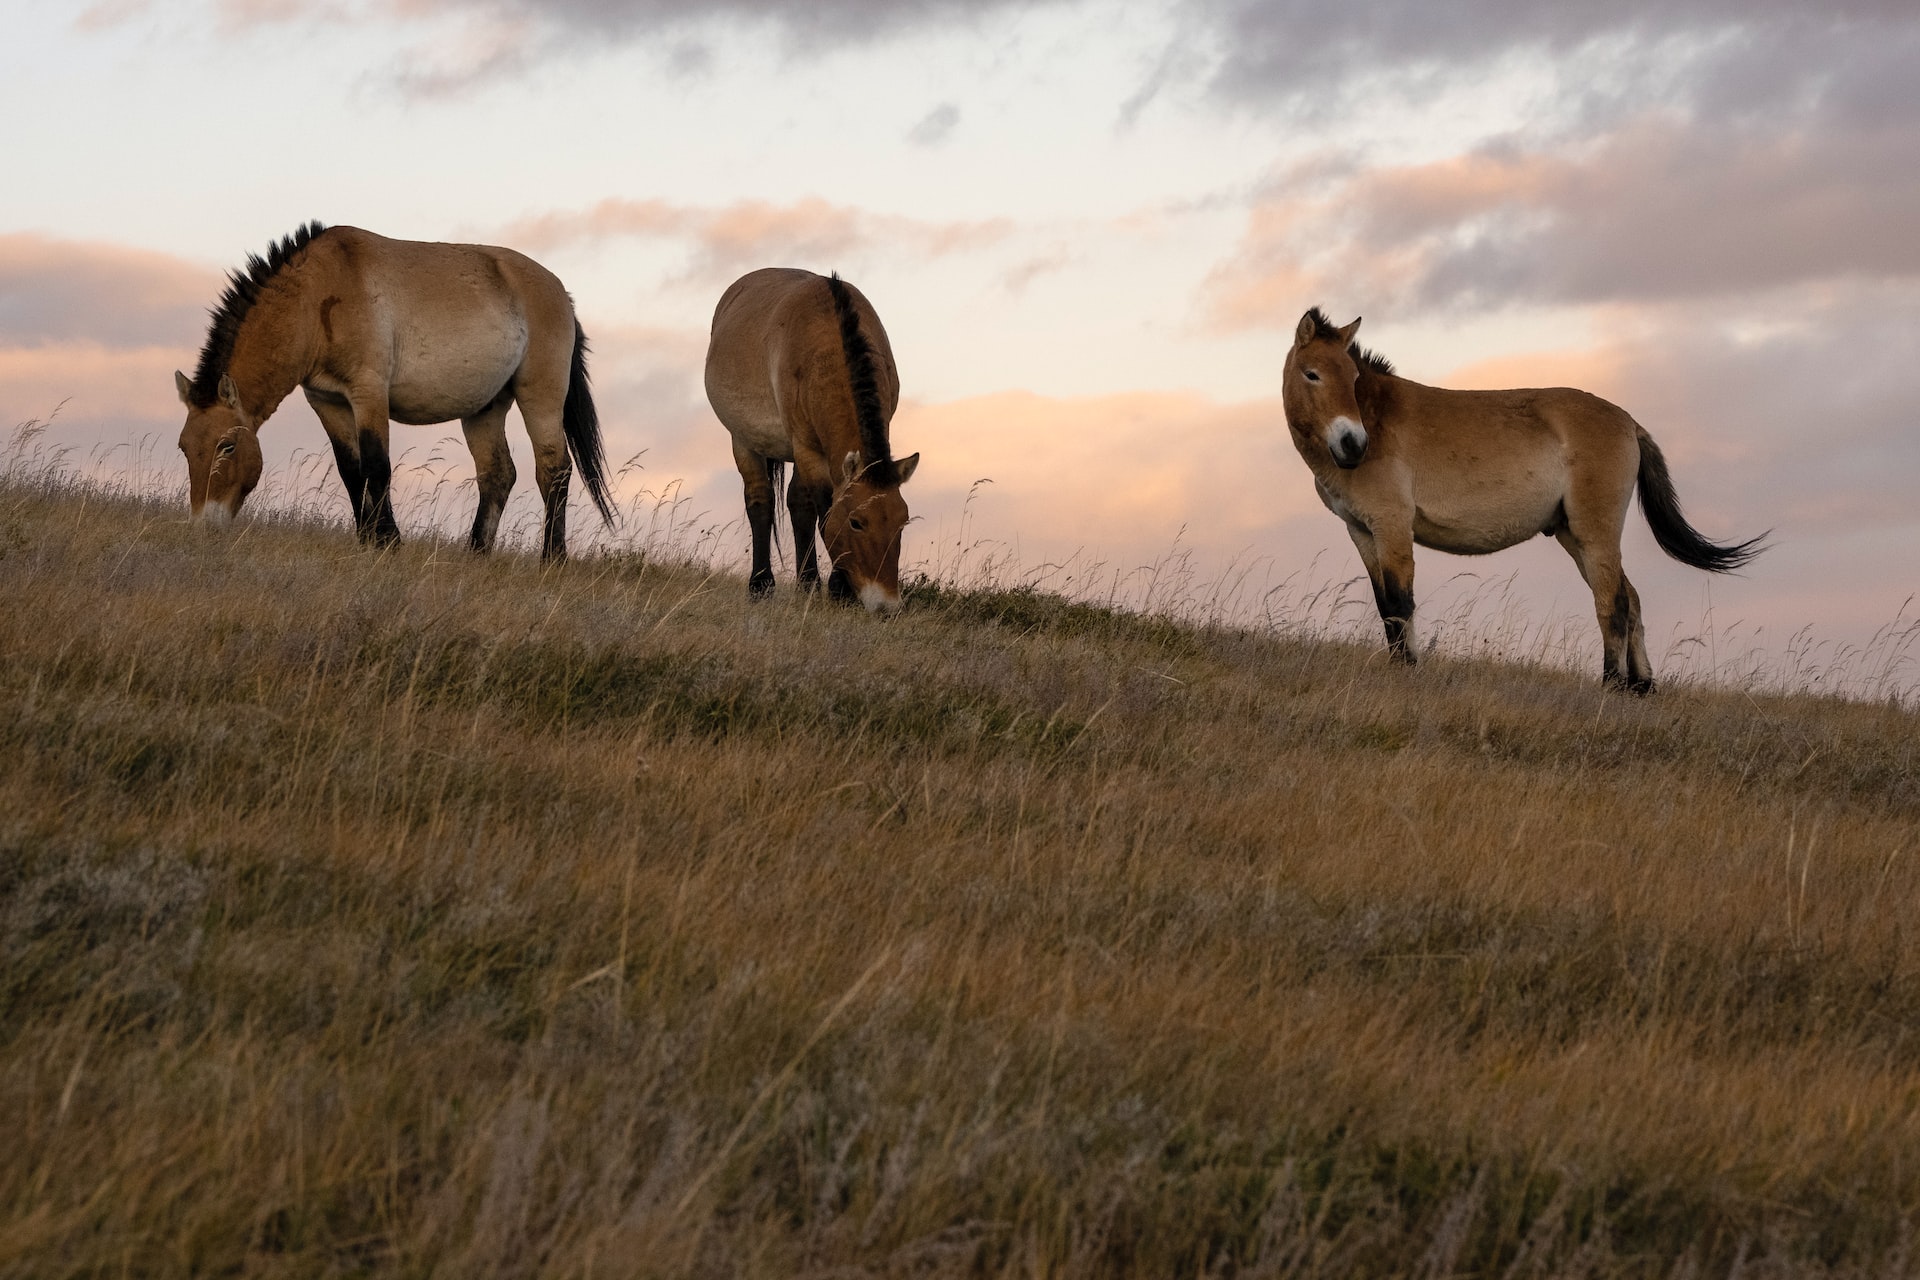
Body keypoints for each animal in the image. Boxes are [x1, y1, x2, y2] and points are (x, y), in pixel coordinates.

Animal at [172, 218, 610, 556]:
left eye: (227, 446)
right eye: (185, 448)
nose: (203, 526)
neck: (318, 297)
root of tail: (562, 294)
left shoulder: (368, 393)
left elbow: (377, 465)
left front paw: (388, 541)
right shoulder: (327, 401)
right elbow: (351, 471)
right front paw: (366, 538)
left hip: (541, 397)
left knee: (554, 469)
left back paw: (552, 557)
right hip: (484, 409)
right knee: (498, 474)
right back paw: (476, 553)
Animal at [706, 268, 921, 614]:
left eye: (902, 522)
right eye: (856, 522)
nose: (886, 606)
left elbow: (807, 507)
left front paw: (823, 586)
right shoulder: (806, 448)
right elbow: (824, 510)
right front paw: (838, 588)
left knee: (797, 503)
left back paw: (806, 584)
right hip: (745, 442)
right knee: (761, 501)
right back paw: (761, 585)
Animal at [1282, 307, 1758, 690]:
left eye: (1353, 378)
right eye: (1312, 374)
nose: (1353, 445)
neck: (1378, 420)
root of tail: (1629, 422)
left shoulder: (1393, 526)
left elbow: (1401, 603)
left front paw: (1409, 671)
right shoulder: (1362, 532)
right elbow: (1386, 607)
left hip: (1595, 534)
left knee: (1613, 602)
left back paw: (1612, 685)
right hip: (1573, 536)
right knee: (1632, 598)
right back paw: (1642, 687)